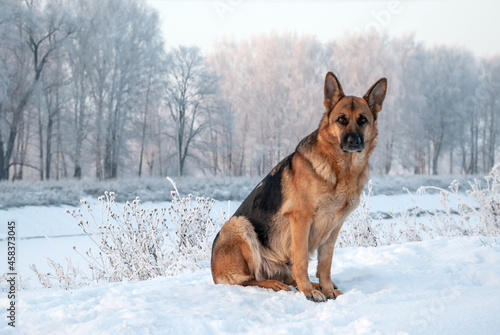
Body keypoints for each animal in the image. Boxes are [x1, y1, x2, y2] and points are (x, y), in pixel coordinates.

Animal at [211, 72, 386, 304]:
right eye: (341, 120)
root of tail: (214, 273)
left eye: (363, 120)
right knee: (251, 279)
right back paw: (277, 284)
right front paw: (308, 292)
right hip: (238, 225)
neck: (341, 169)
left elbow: (325, 263)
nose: (353, 142)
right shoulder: (301, 219)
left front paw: (326, 288)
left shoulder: (334, 226)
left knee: (283, 276)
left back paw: (312, 284)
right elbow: (302, 260)